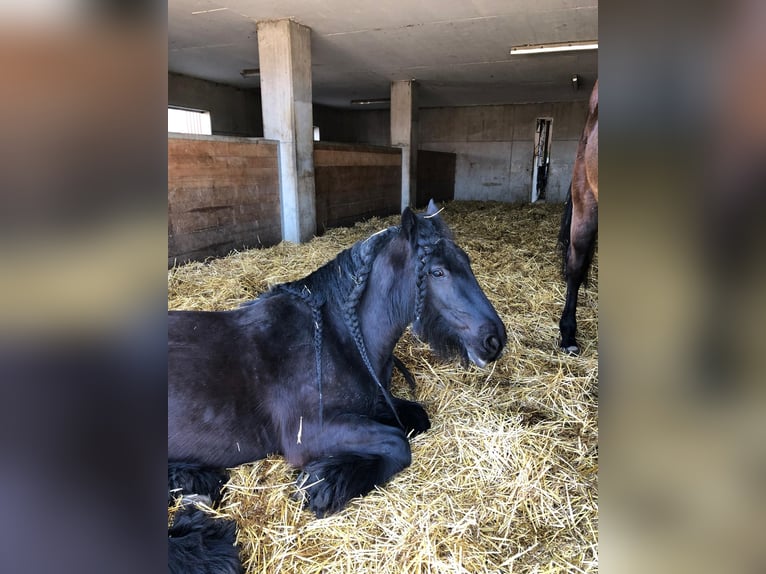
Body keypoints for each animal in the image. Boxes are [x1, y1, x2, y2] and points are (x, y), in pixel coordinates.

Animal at [167, 200, 508, 520]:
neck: (338, 338)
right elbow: (397, 443)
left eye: (467, 262)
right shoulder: (307, 434)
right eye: (437, 272)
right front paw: (324, 483)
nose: (494, 339)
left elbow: (415, 419)